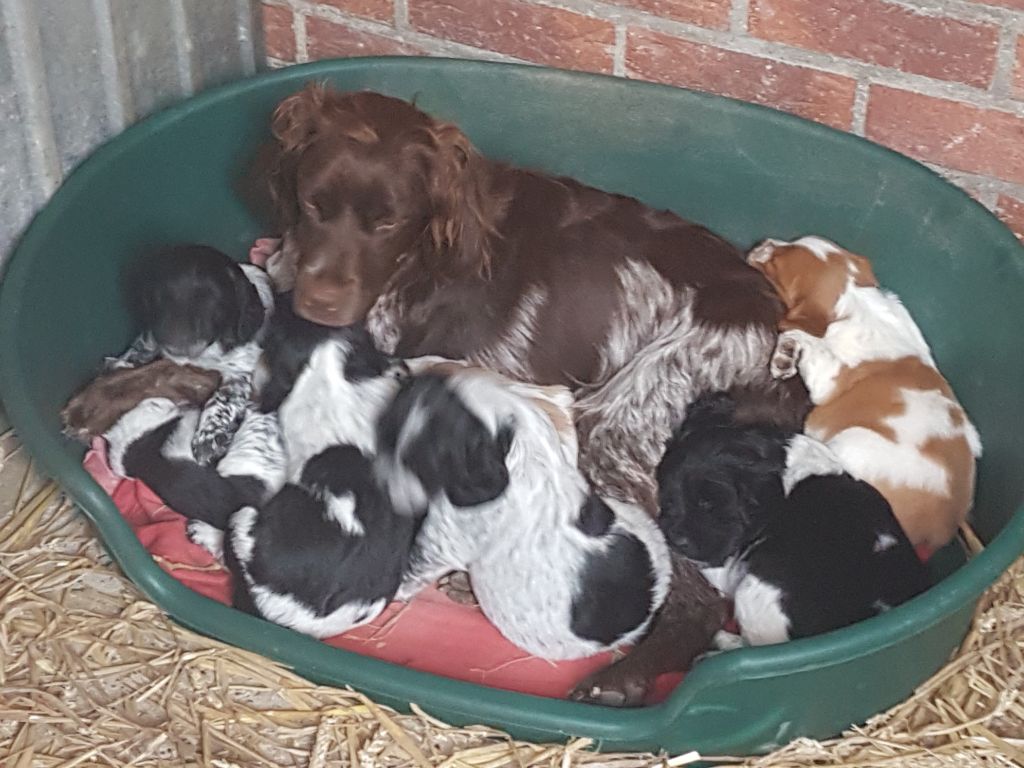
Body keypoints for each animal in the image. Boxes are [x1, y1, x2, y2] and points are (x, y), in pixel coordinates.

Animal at [110, 243, 274, 466]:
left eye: (214, 302)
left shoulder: (240, 370)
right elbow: (140, 350)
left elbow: (223, 400)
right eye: (160, 296)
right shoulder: (152, 336)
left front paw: (209, 437)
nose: (176, 346)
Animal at [262, 83, 798, 512]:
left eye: (388, 222)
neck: (422, 258)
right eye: (312, 203)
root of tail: (765, 305)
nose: (319, 303)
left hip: (623, 415)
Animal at [749, 236, 978, 552]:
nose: (763, 242)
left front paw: (788, 350)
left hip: (848, 447)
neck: (857, 302)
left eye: (776, 263)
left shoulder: (827, 375)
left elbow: (806, 339)